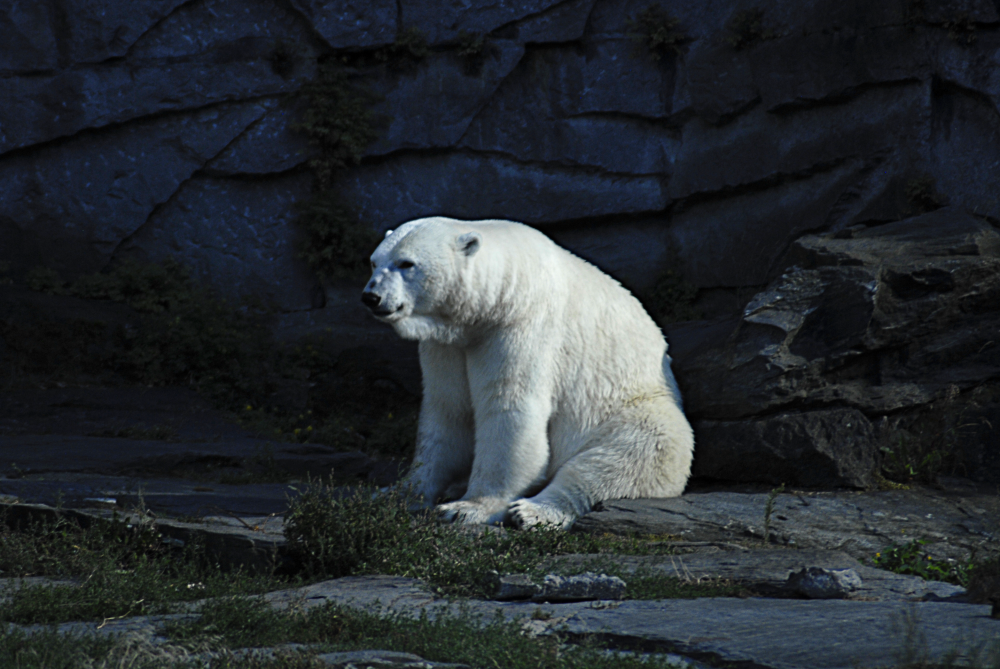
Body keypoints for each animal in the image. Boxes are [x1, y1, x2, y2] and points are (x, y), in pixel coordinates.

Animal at [361, 216, 693, 529]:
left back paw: (533, 511)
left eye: (406, 263)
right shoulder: (448, 344)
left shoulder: (522, 324)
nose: (371, 297)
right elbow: (448, 411)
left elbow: (510, 407)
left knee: (622, 458)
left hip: (634, 410)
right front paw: (395, 494)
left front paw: (466, 508)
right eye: (374, 262)